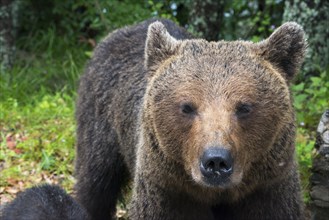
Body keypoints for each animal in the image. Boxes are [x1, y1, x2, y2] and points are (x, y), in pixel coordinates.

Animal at [74, 18, 304, 220]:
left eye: (244, 107)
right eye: (187, 107)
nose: (216, 160)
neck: (216, 194)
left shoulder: (268, 188)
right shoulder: (169, 190)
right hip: (99, 121)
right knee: (95, 182)